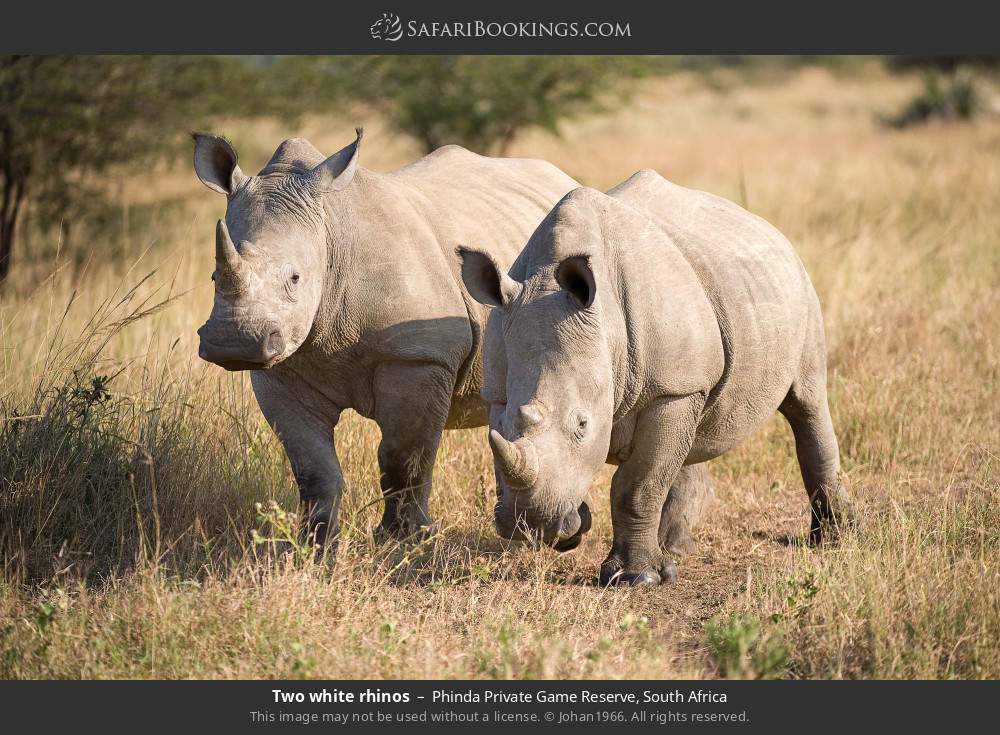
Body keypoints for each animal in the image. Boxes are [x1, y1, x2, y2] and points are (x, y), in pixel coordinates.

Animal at [192, 129, 577, 546]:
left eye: (294, 278)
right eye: (212, 277)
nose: (234, 343)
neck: (330, 238)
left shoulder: (418, 357)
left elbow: (402, 458)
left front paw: (403, 539)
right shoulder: (281, 370)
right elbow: (312, 466)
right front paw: (316, 543)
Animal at [459, 169, 852, 585]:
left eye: (583, 425)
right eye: (504, 424)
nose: (529, 525)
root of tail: (770, 230)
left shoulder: (672, 389)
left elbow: (637, 484)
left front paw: (635, 579)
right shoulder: (497, 386)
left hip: (797, 290)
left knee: (807, 402)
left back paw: (832, 541)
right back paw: (674, 549)